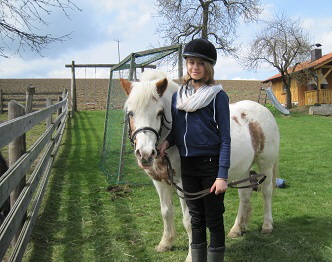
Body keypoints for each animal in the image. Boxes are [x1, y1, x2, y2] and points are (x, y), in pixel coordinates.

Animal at [120, 69, 280, 262]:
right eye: (130, 113)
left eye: (159, 112)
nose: (145, 154)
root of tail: (264, 111)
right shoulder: (160, 183)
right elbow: (166, 212)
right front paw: (166, 243)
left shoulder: (185, 186)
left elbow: (189, 221)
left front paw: (190, 255)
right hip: (243, 170)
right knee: (245, 195)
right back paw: (237, 228)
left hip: (265, 165)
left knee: (267, 193)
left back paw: (267, 225)